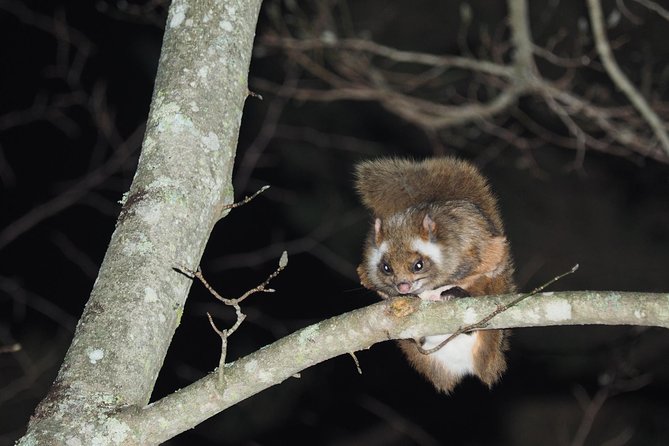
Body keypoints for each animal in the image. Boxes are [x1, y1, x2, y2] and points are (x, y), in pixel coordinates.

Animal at [358, 158, 516, 394]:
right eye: (386, 268)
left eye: (418, 265)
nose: (403, 287)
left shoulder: (477, 248)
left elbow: (479, 265)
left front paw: (439, 290)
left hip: (495, 285)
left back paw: (455, 295)